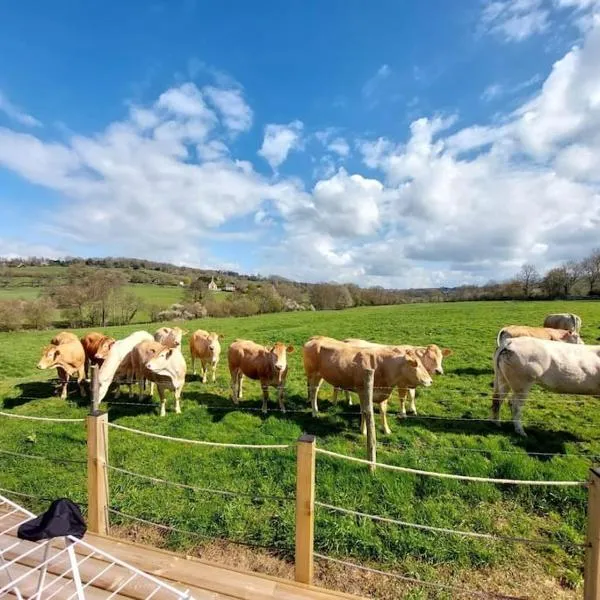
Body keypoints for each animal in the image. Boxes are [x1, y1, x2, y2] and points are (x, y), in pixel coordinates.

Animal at [304, 336, 432, 434]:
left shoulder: (383, 393)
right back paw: (315, 412)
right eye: (416, 365)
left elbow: (383, 411)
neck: (382, 367)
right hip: (312, 374)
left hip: (320, 376)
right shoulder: (363, 392)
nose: (430, 381)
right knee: (313, 392)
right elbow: (365, 411)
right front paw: (364, 431)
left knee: (315, 390)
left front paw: (386, 429)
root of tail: (317, 338)